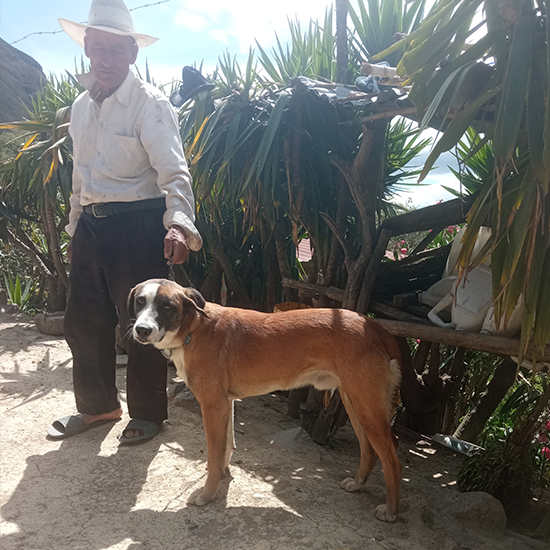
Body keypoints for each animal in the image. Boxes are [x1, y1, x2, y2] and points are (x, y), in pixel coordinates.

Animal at [130, 280, 406, 520]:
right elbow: (226, 448)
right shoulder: (225, 405)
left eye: (167, 306)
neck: (195, 328)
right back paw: (358, 484)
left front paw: (207, 494)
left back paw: (391, 511)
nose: (141, 330)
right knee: (369, 451)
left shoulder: (212, 406)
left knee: (392, 459)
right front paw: (223, 477)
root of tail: (378, 329)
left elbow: (213, 456)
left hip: (368, 408)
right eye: (140, 301)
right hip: (355, 404)